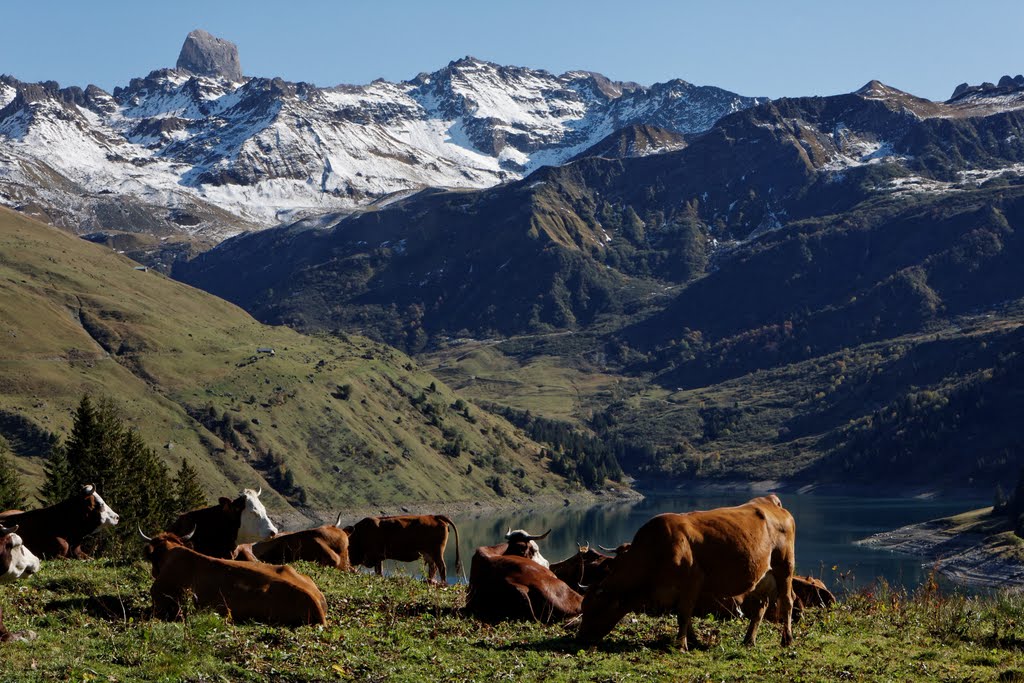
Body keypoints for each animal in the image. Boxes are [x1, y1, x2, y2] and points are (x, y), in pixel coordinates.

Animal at [581, 493, 794, 651]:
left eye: (594, 607)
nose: (579, 638)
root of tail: (768, 501)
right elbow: (683, 614)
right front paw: (692, 640)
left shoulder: (692, 581)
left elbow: (684, 613)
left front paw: (682, 645)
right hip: (762, 575)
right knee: (761, 606)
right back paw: (749, 640)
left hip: (785, 567)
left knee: (787, 601)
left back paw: (787, 640)